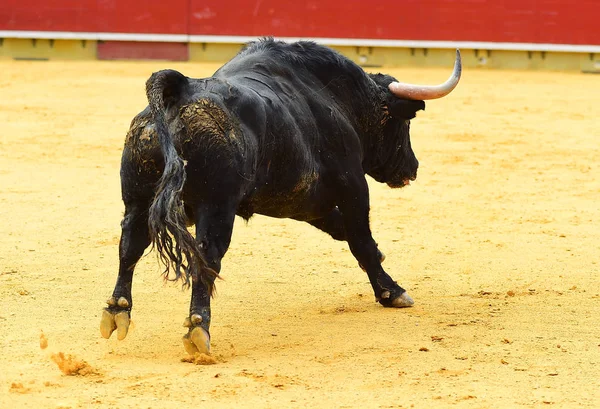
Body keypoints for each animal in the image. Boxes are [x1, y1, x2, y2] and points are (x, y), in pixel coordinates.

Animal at [101, 37, 462, 354]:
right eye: (404, 124)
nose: (412, 167)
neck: (339, 98)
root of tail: (181, 91)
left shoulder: (304, 201)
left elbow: (344, 232)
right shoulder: (352, 184)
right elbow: (359, 238)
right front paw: (392, 292)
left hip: (137, 200)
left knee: (129, 245)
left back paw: (117, 311)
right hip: (216, 207)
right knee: (206, 257)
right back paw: (198, 328)